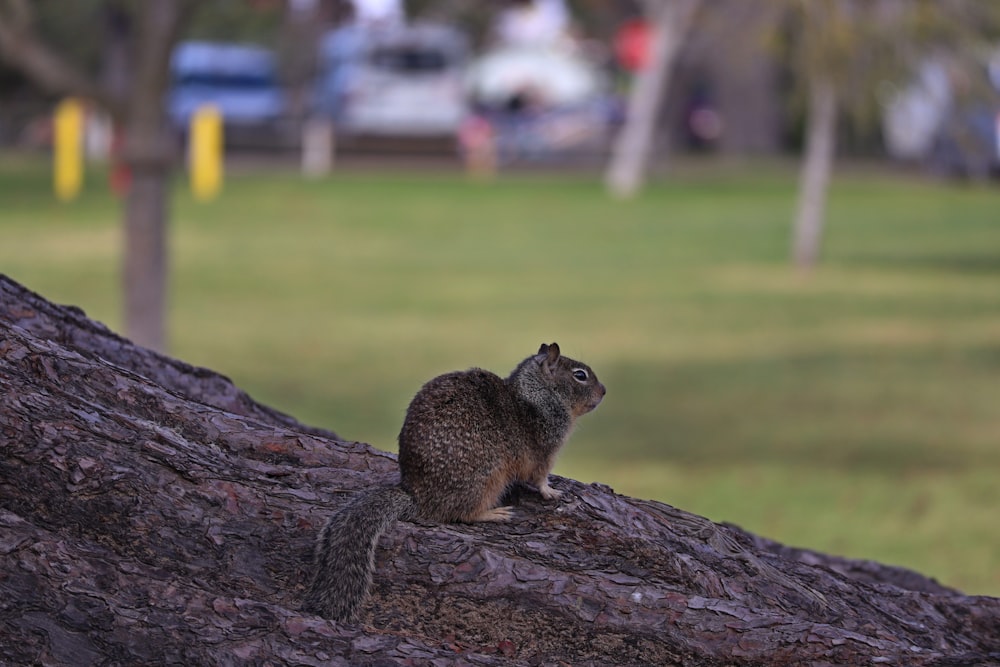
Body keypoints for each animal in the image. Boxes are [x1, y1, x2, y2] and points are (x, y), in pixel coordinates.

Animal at [300, 342, 604, 624]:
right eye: (580, 375)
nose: (604, 391)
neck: (538, 393)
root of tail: (415, 495)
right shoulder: (544, 451)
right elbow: (539, 477)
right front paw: (551, 491)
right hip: (486, 480)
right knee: (462, 515)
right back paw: (494, 513)